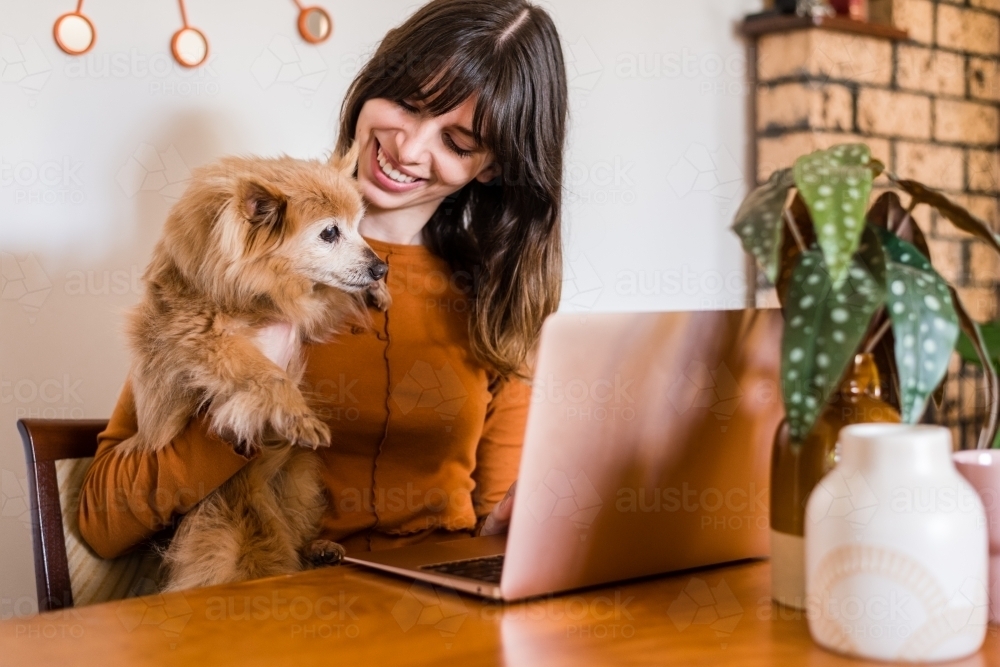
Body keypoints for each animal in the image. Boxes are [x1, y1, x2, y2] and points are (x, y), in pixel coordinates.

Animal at [115, 145, 384, 588]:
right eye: (330, 232)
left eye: (358, 227)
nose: (382, 266)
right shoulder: (208, 341)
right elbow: (266, 375)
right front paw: (295, 413)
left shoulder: (303, 313)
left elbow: (330, 297)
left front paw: (378, 291)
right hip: (228, 526)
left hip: (297, 482)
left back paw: (319, 551)